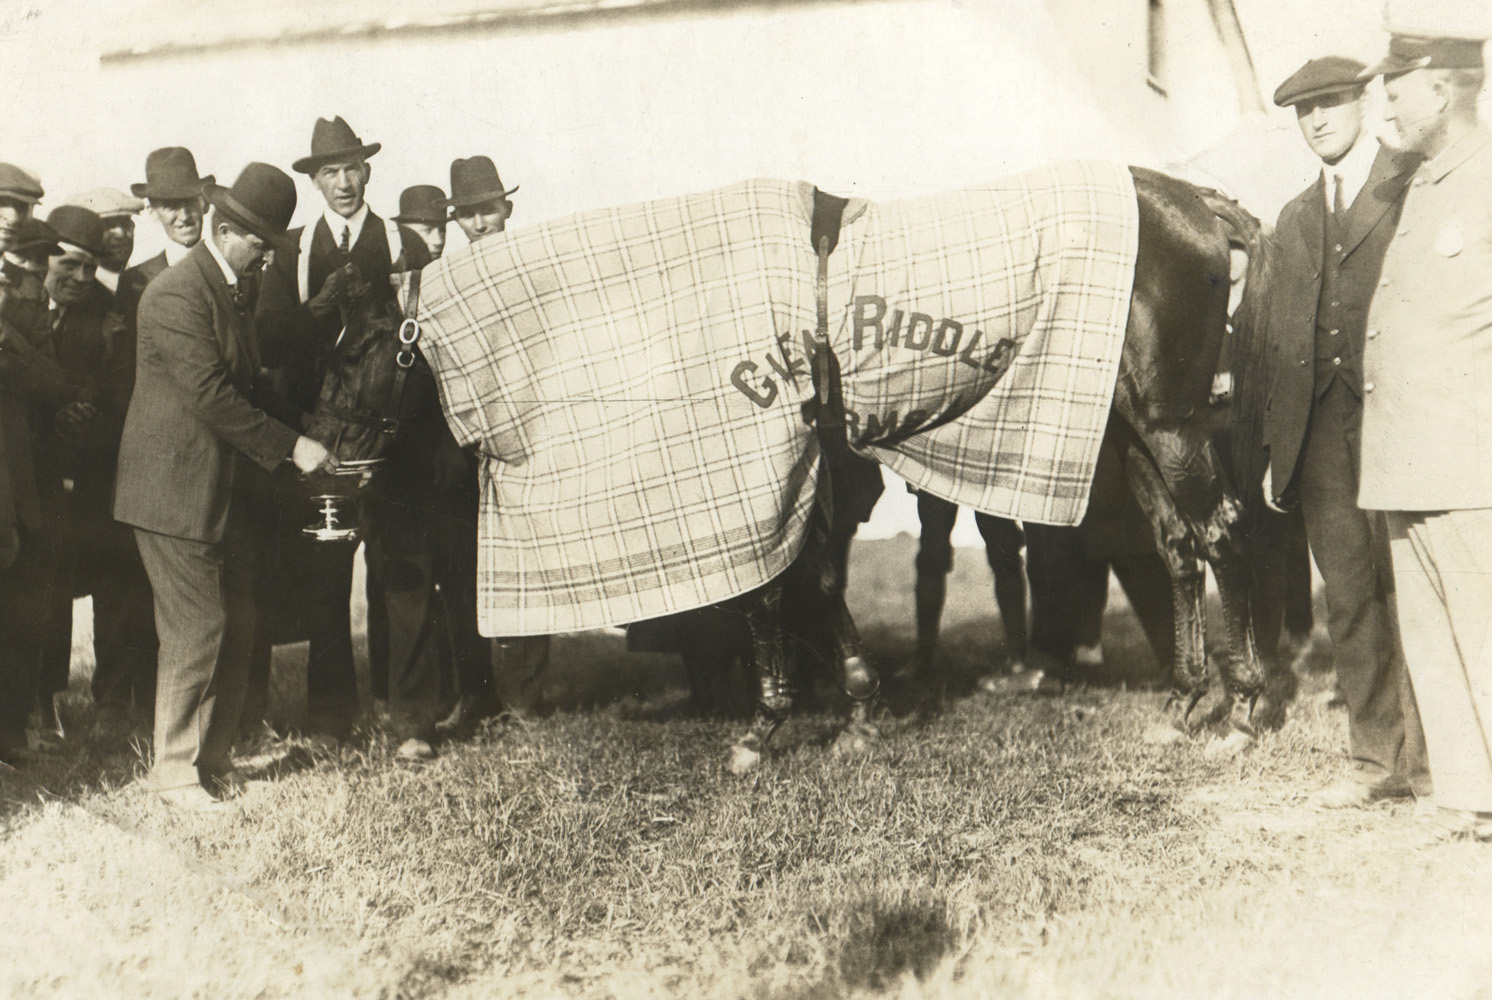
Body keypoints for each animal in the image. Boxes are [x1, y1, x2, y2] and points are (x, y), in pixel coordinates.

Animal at [302, 166, 1271, 776]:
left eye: (357, 349)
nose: (318, 461)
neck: (671, 305)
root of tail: (1197, 201)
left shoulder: (761, 461)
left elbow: (771, 590)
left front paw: (764, 731)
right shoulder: (803, 462)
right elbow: (817, 578)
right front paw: (858, 710)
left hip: (1170, 423)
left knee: (1222, 533)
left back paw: (1245, 712)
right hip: (1129, 428)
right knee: (1176, 547)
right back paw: (1187, 705)